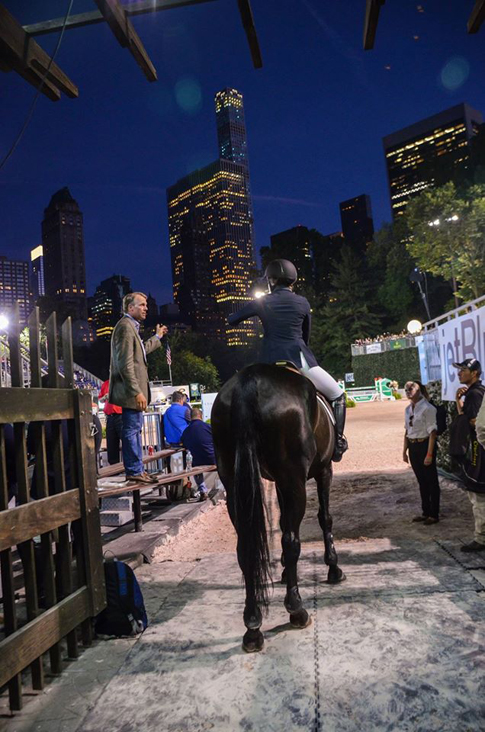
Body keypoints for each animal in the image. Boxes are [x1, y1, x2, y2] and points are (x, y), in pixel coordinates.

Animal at [211, 362, 344, 652]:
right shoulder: (323, 470)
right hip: (293, 478)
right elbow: (325, 518)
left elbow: (283, 521)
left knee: (245, 548)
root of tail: (248, 381)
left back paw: (252, 626)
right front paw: (333, 567)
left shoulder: (279, 483)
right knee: (291, 540)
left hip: (234, 485)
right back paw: (296, 610)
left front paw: (283, 570)